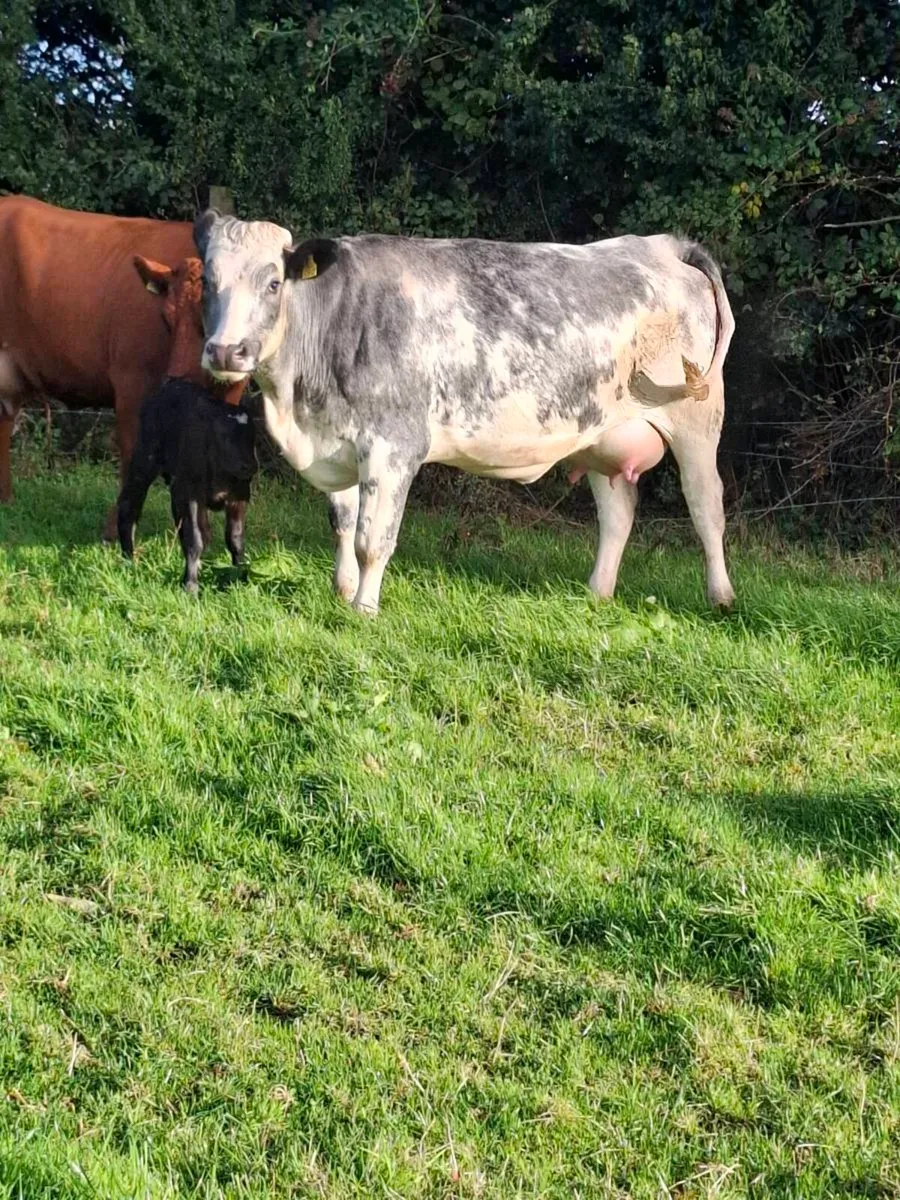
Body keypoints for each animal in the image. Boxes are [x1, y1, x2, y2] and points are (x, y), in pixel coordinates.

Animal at [0, 194, 199, 538]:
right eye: (165, 318)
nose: (180, 375)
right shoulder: (132, 382)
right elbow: (133, 455)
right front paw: (117, 530)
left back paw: (6, 501)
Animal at [194, 211, 736, 614]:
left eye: (273, 283)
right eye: (208, 281)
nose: (226, 352)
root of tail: (662, 245)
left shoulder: (394, 446)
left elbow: (373, 538)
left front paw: (364, 609)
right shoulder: (339, 441)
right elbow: (343, 524)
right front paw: (342, 590)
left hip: (697, 419)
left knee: (706, 506)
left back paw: (722, 598)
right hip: (604, 432)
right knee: (619, 515)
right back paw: (596, 593)